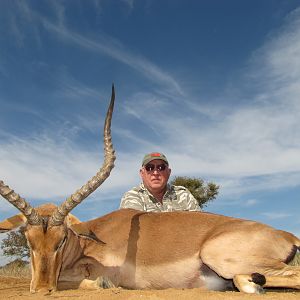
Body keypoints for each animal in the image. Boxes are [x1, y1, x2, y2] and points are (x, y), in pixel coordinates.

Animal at [0, 85, 300, 294]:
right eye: (28, 239)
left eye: (61, 239)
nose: (42, 289)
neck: (89, 242)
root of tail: (286, 234)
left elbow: (85, 281)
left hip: (220, 256)